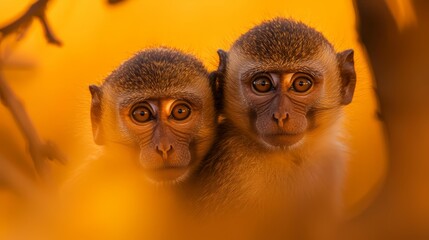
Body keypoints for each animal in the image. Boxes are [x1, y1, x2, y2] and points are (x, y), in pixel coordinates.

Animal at [192, 17, 356, 239]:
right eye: (262, 84)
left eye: (301, 84)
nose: (280, 115)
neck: (288, 158)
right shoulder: (233, 170)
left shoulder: (329, 164)